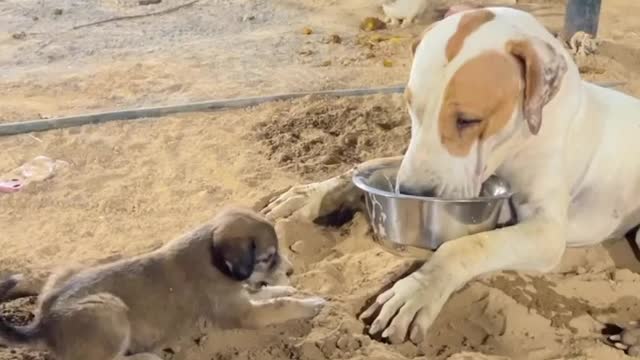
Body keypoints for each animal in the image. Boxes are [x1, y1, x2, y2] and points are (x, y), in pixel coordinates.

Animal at [0, 207, 322, 360]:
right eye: (267, 257)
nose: (292, 270)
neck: (213, 258)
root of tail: (43, 323)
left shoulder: (241, 297)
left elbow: (268, 293)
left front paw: (287, 288)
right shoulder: (243, 313)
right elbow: (279, 305)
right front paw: (313, 303)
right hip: (108, 311)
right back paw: (146, 356)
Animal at [262, 7, 640, 344]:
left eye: (469, 120)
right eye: (411, 106)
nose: (411, 191)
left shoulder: (546, 232)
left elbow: (465, 245)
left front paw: (419, 290)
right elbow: (362, 167)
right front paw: (309, 195)